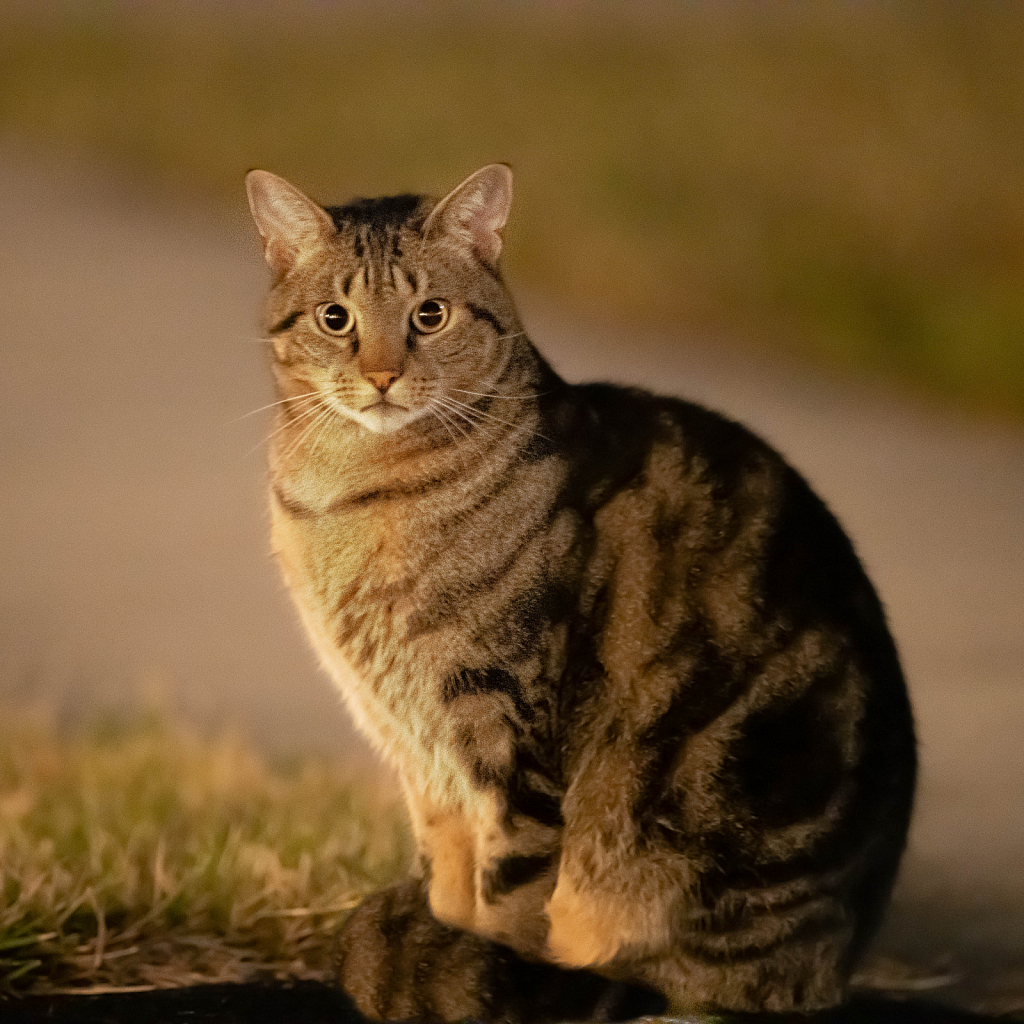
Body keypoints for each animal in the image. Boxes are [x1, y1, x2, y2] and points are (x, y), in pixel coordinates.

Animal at [243, 163, 917, 1019]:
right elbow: (450, 889)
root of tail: (841, 959)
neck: (350, 491)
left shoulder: (506, 730)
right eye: (337, 318)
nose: (383, 375)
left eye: (430, 314)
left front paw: (493, 972)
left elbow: (509, 904)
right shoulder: (418, 753)